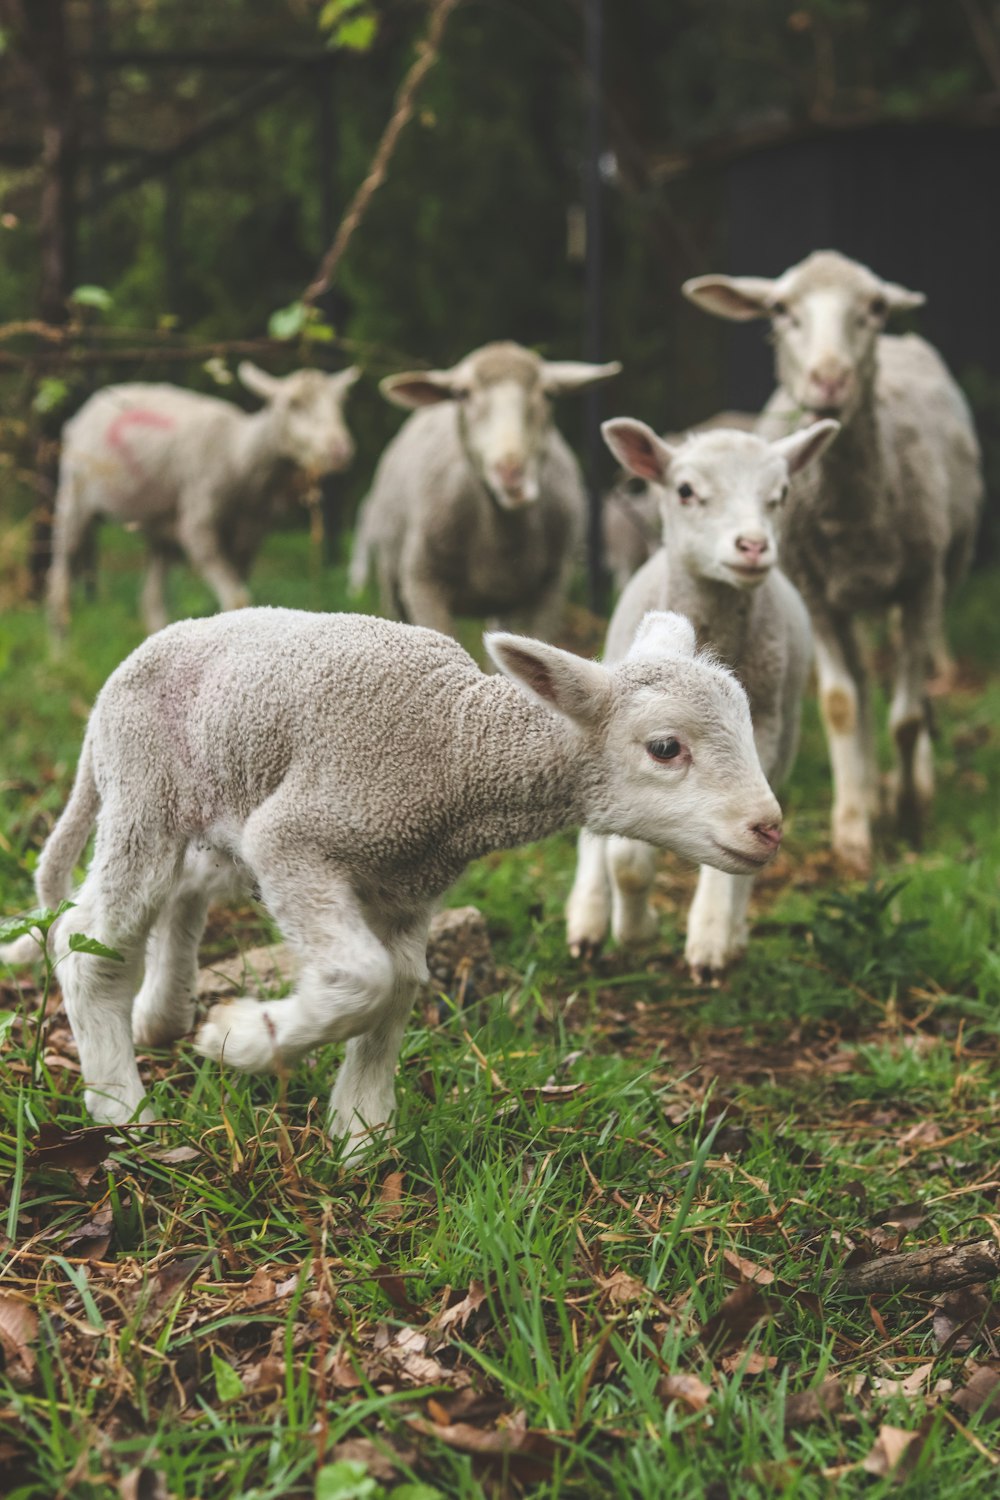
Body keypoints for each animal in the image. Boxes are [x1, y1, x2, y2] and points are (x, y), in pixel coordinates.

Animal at [0, 603, 779, 1152]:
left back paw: (160, 1016)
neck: (457, 747)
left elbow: (399, 986)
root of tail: (115, 682)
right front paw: (243, 1040)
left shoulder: (407, 884)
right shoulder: (295, 835)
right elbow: (365, 979)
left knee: (181, 893)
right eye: (665, 748)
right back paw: (121, 1108)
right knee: (87, 944)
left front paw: (360, 1132)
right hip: (145, 792)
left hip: (216, 808)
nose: (768, 828)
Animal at [48, 367, 359, 639]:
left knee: (150, 600)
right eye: (293, 403)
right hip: (74, 494)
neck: (238, 454)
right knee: (60, 581)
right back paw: (60, 656)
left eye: (340, 402)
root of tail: (85, 410)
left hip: (160, 523)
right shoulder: (199, 522)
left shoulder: (251, 534)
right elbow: (237, 598)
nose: (340, 449)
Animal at [347, 340, 620, 639]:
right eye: (462, 394)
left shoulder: (551, 588)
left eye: (549, 394)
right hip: (392, 577)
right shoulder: (423, 584)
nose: (510, 471)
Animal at [566, 417, 839, 972]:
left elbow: (740, 841)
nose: (753, 546)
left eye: (781, 494)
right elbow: (624, 857)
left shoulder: (765, 732)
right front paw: (631, 928)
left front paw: (711, 939)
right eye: (686, 490)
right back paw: (587, 917)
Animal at [683, 252, 983, 876]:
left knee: (912, 682)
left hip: (943, 570)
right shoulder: (816, 594)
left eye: (874, 308)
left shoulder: (920, 584)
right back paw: (866, 790)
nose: (828, 380)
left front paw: (909, 815)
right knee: (864, 683)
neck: (852, 513)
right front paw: (851, 834)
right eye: (780, 309)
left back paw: (905, 786)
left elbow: (907, 718)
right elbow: (842, 705)